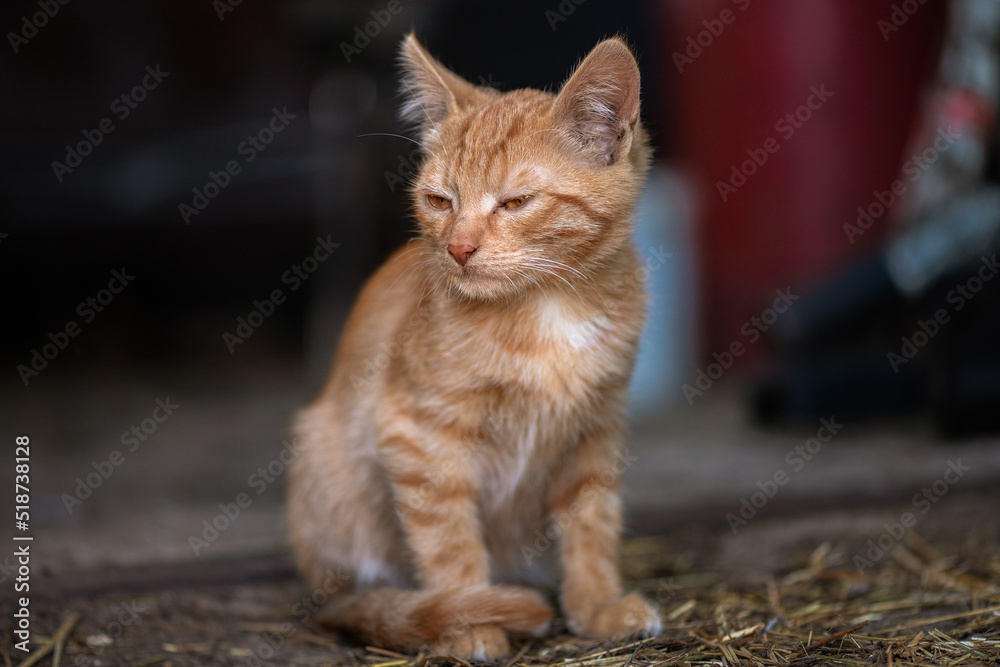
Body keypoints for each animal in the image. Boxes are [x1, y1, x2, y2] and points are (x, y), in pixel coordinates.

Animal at [288, 34, 664, 660]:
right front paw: (469, 620)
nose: (458, 249)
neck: (547, 307)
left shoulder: (597, 429)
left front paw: (596, 607)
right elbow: (448, 539)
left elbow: (593, 520)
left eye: (515, 202)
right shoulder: (417, 433)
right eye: (440, 201)